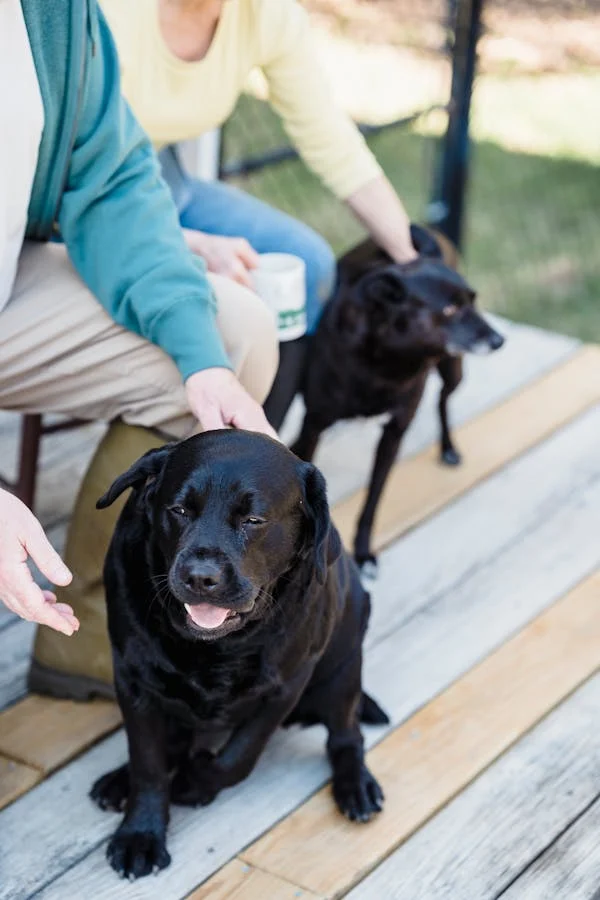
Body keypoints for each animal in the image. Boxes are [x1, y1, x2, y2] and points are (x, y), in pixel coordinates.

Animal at [89, 428, 390, 880]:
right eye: (179, 510)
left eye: (253, 521)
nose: (201, 577)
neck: (217, 646)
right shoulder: (133, 679)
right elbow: (148, 762)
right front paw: (140, 834)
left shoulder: (284, 687)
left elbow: (238, 756)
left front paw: (196, 782)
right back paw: (119, 781)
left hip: (342, 667)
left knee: (346, 735)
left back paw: (356, 787)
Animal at [292, 229, 504, 572]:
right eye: (450, 310)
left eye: (473, 301)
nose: (499, 340)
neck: (385, 362)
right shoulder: (313, 425)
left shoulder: (394, 433)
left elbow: (373, 501)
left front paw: (363, 552)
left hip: (453, 370)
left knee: (443, 400)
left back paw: (448, 448)